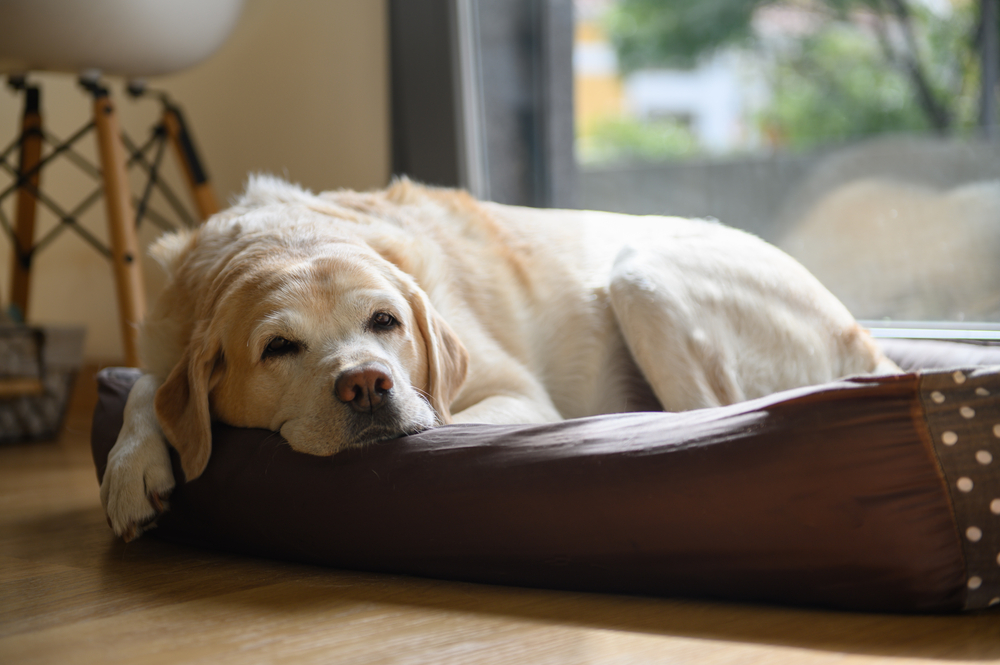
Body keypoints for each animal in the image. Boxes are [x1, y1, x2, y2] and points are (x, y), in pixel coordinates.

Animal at [101, 175, 896, 540]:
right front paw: (132, 467)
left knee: (714, 416)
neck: (286, 234)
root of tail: (869, 341)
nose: (367, 384)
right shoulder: (167, 341)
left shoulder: (509, 391)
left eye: (386, 321)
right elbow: (146, 386)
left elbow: (451, 421)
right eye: (278, 348)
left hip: (641, 275)